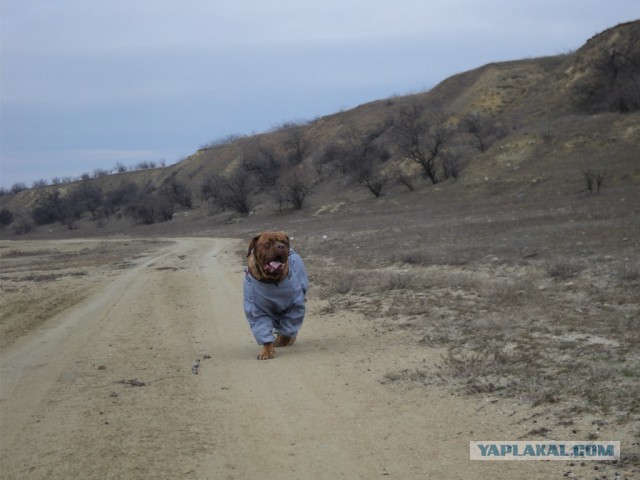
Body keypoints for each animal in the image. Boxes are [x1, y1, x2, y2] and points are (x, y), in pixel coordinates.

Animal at [242, 232, 308, 360]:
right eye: (268, 243)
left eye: (284, 242)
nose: (281, 246)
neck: (271, 281)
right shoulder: (256, 310)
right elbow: (263, 330)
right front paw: (267, 351)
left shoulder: (295, 306)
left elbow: (289, 326)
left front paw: (283, 340)